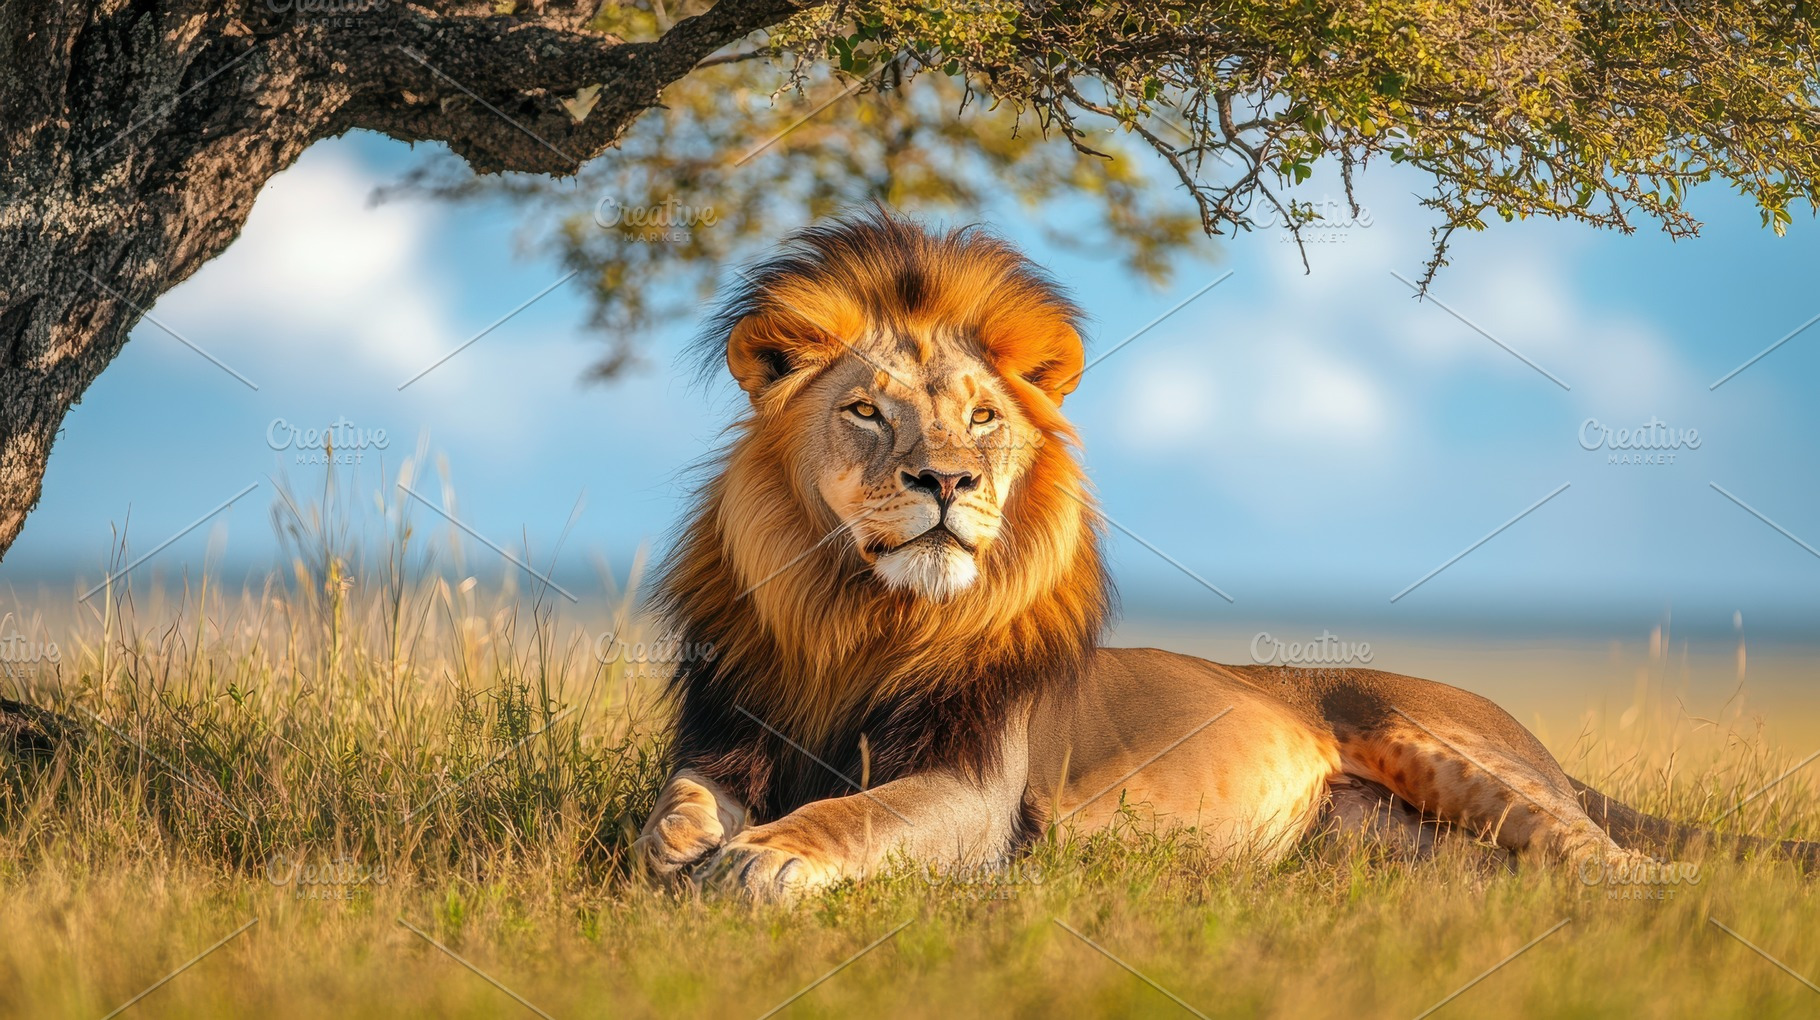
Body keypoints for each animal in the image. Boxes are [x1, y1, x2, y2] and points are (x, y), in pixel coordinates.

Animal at [634, 212, 1816, 901]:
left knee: (1614, 861)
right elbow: (672, 805)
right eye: (868, 413)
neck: (859, 615)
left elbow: (856, 812)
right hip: (1382, 848)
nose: (948, 484)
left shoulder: (975, 792)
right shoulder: (729, 734)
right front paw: (679, 847)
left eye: (980, 418)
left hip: (1438, 743)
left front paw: (766, 855)